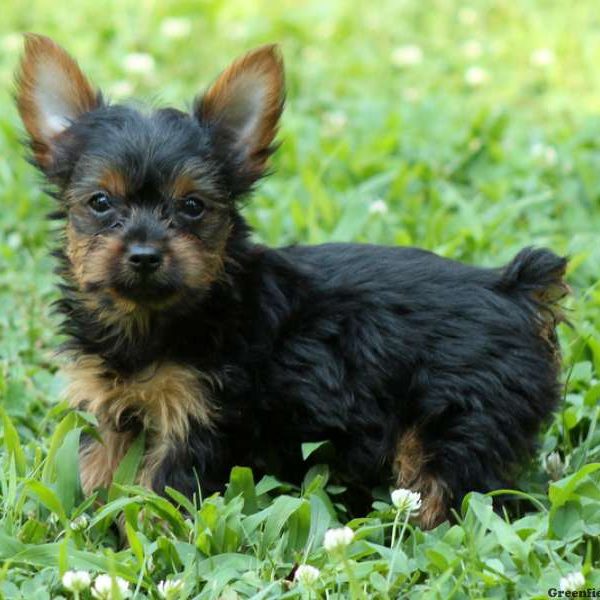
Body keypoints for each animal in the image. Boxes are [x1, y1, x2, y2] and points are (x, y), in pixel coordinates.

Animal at [14, 35, 568, 528]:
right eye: (100, 203)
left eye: (193, 206)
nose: (145, 254)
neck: (153, 320)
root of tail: (514, 291)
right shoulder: (105, 405)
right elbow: (94, 471)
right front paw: (78, 525)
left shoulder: (198, 414)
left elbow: (161, 492)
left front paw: (144, 541)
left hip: (459, 420)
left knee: (446, 493)